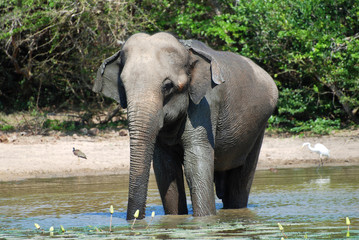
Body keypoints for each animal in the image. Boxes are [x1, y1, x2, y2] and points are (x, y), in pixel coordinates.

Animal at [93, 31, 278, 219]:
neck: (186, 50)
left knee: (240, 181)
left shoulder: (206, 103)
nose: (135, 218)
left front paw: (204, 219)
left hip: (259, 126)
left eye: (168, 86)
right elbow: (165, 168)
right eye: (122, 86)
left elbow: (195, 164)